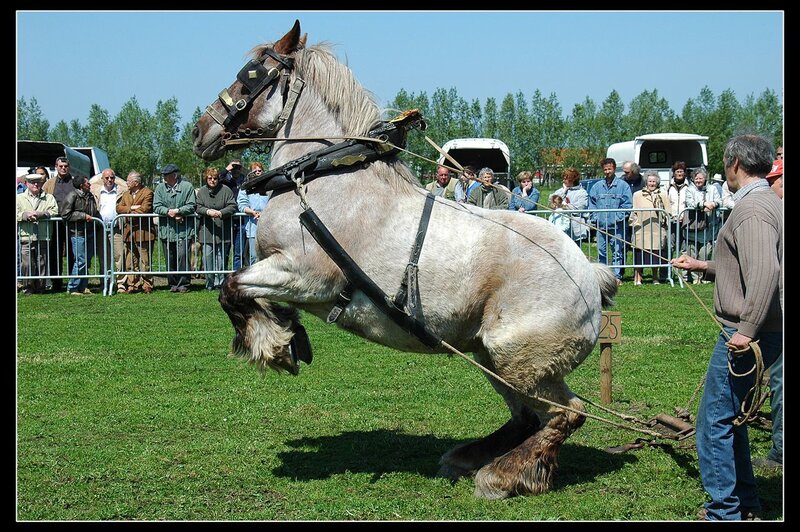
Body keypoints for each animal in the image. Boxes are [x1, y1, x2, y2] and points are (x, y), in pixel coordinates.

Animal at [192, 20, 618, 499]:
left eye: (249, 75)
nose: (199, 131)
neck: (323, 179)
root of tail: (591, 271)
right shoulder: (281, 273)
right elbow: (243, 292)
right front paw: (285, 331)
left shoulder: (306, 276)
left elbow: (232, 288)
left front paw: (274, 346)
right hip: (491, 357)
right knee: (529, 417)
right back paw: (469, 458)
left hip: (520, 360)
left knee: (566, 413)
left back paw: (503, 475)